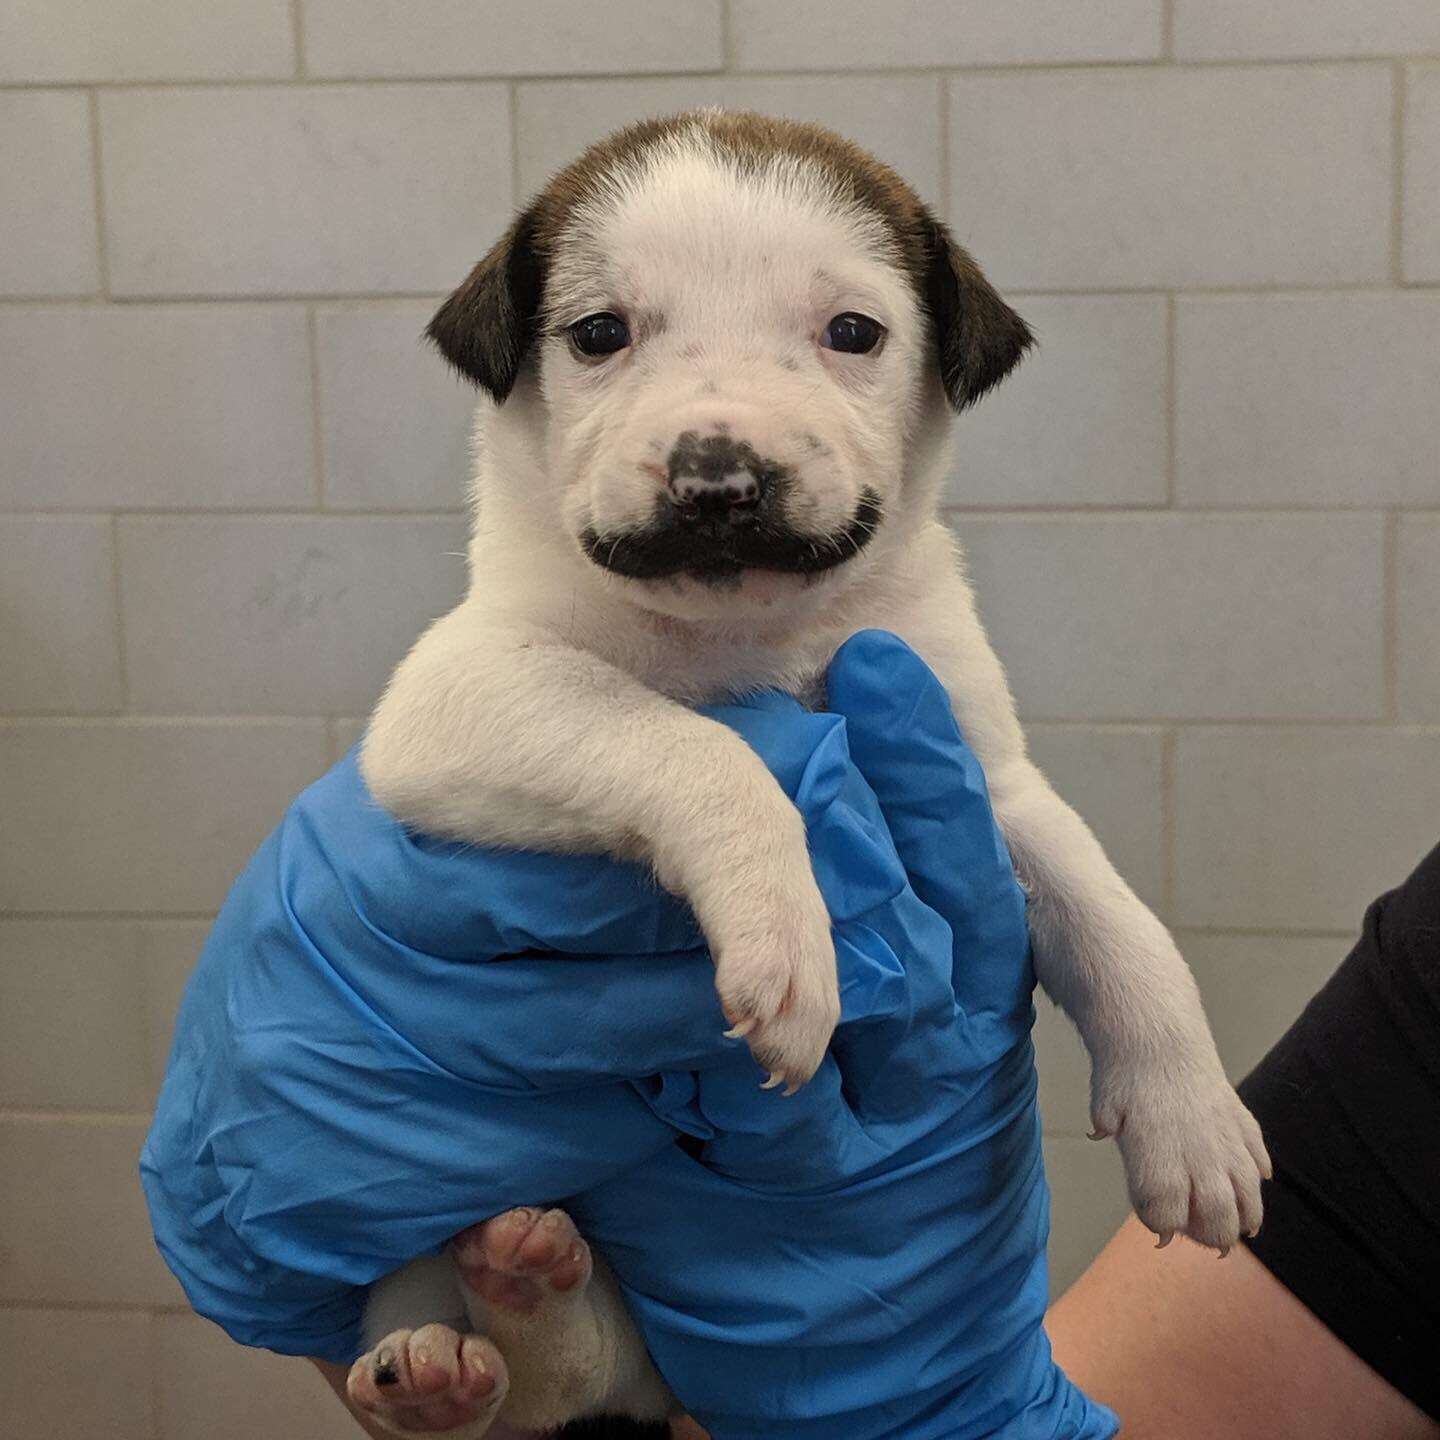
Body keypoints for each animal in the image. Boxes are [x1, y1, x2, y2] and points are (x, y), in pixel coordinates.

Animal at [342, 106, 1267, 1434]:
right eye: (599, 334)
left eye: (853, 333)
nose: (717, 479)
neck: (748, 634)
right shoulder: (458, 697)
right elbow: (694, 744)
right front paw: (785, 934)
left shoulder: (982, 773)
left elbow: (1114, 917)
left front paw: (1192, 1116)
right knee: (509, 1365)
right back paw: (437, 1360)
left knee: (580, 1359)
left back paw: (523, 1294)